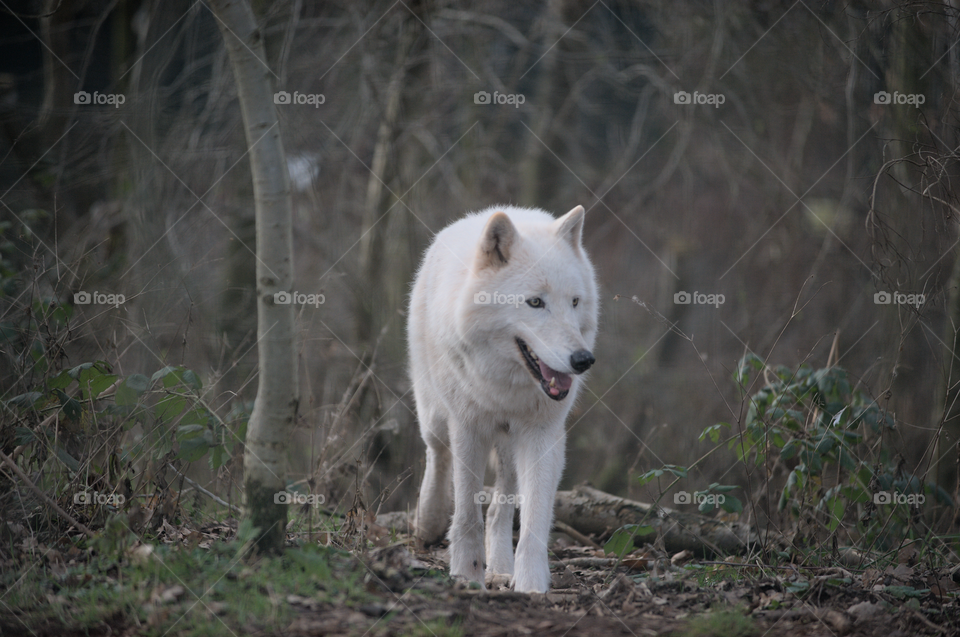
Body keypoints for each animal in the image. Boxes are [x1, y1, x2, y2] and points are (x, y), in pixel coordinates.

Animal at [408, 204, 598, 593]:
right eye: (535, 302)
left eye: (574, 302)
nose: (583, 360)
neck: (505, 385)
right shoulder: (468, 427)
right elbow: (467, 511)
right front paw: (466, 574)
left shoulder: (543, 433)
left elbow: (534, 518)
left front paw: (530, 584)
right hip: (434, 415)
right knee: (437, 454)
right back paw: (429, 520)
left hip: (511, 443)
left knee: (500, 508)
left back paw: (499, 569)